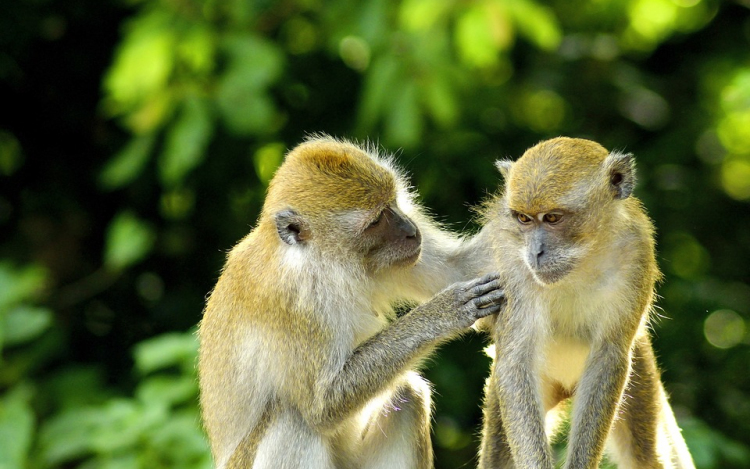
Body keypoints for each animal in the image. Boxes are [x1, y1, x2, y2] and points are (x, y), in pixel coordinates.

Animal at [198, 135, 506, 468]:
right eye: (376, 221)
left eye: (392, 203)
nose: (412, 231)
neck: (322, 262)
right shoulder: (293, 302)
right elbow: (322, 406)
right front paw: (446, 311)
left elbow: (459, 267)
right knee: (294, 418)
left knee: (407, 395)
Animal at [470, 136, 700, 468]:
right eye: (524, 219)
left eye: (553, 218)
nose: (535, 253)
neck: (584, 257)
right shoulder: (512, 262)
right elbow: (515, 359)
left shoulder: (637, 252)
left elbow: (608, 356)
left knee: (647, 453)